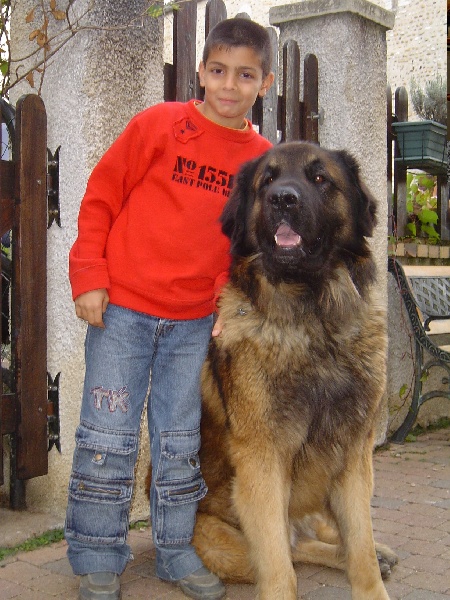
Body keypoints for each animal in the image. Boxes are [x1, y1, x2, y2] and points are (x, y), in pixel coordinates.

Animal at [148, 142, 397, 599]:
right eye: (267, 181)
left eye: (320, 178)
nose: (283, 199)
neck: (311, 318)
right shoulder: (262, 461)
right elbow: (282, 568)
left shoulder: (354, 455)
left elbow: (361, 549)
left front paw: (372, 575)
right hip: (226, 544)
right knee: (294, 548)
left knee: (326, 535)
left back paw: (380, 551)